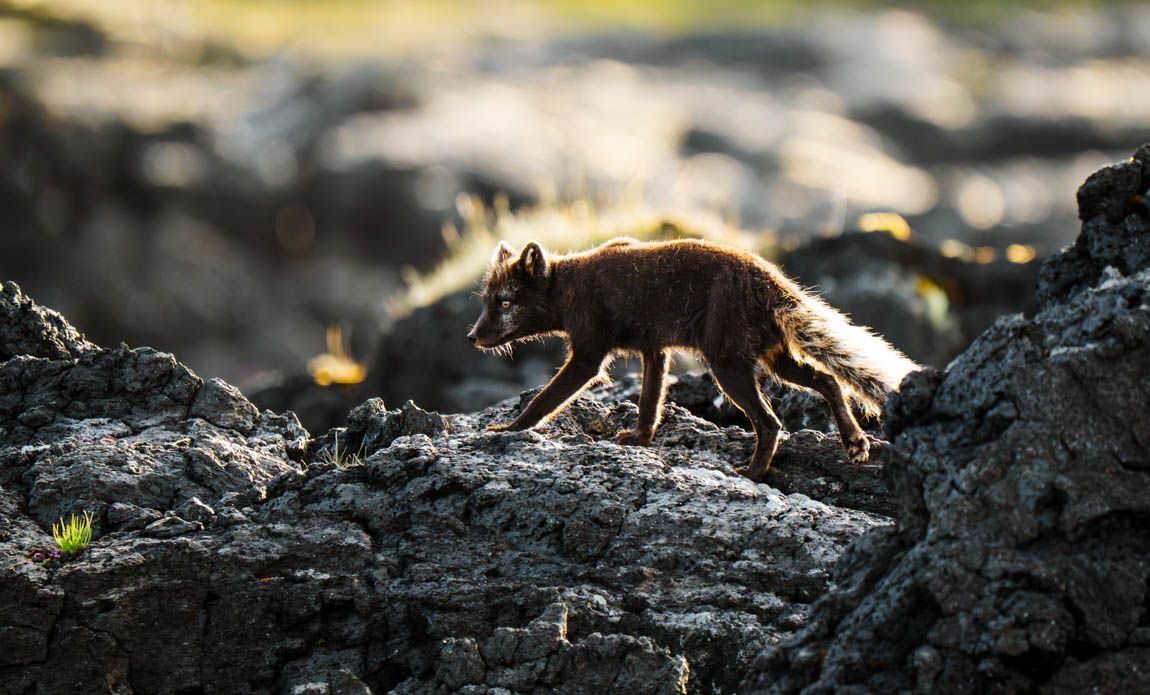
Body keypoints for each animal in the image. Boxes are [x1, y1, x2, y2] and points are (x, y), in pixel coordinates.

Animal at [467, 237, 918, 481]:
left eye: (504, 302)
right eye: (486, 301)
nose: (472, 336)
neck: (567, 287)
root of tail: (774, 281)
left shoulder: (589, 352)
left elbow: (547, 398)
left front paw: (509, 428)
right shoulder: (655, 350)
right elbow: (650, 401)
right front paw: (639, 439)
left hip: (727, 363)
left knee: (771, 421)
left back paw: (752, 474)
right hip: (774, 357)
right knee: (829, 380)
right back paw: (855, 443)